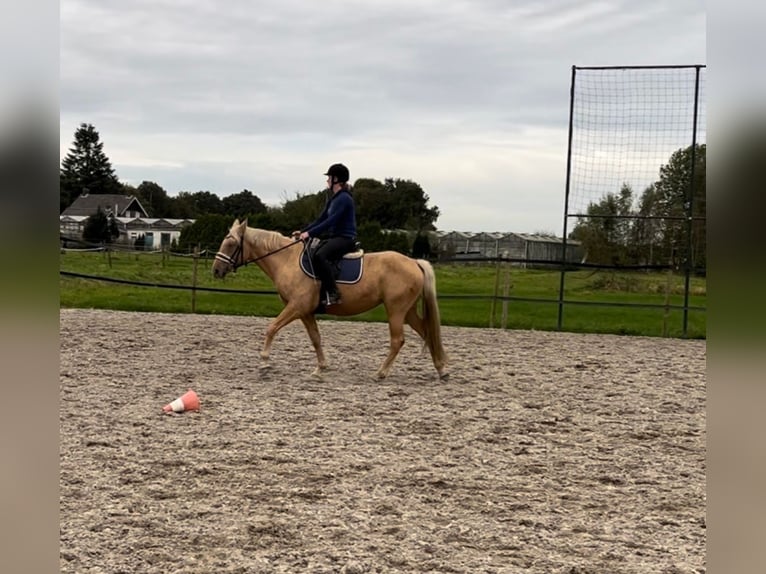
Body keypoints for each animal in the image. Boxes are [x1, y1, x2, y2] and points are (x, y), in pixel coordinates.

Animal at [213, 218, 448, 380]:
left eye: (231, 244)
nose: (216, 270)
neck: (286, 260)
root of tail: (414, 262)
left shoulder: (296, 307)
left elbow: (272, 328)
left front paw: (264, 363)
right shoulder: (306, 312)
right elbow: (316, 338)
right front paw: (320, 369)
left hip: (396, 310)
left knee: (398, 340)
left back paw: (381, 372)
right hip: (407, 311)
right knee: (427, 332)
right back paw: (441, 369)